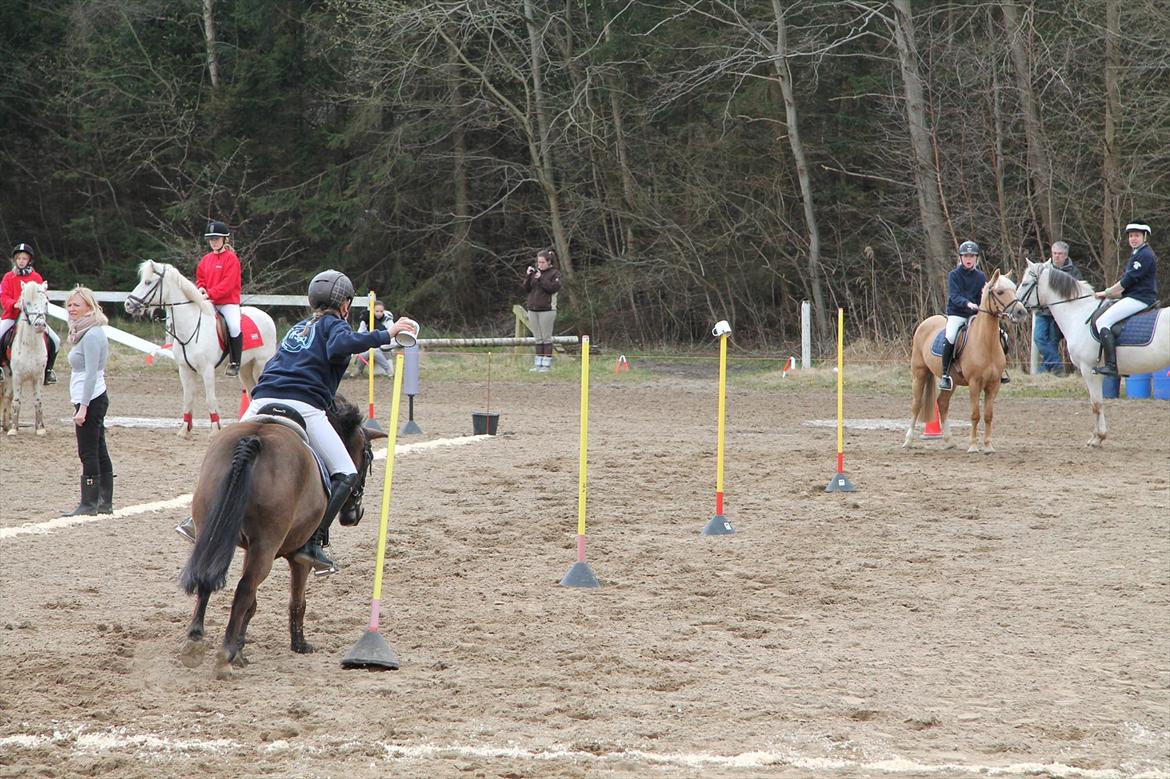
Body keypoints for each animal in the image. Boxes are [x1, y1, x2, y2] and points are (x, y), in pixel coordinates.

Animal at [1, 281, 51, 436]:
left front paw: (40, 428)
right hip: (8, 374)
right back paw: (7, 426)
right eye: (27, 303)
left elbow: (38, 401)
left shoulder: (38, 377)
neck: (30, 345)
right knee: (8, 396)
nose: (39, 325)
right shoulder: (17, 376)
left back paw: (6, 424)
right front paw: (14, 429)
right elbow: (16, 401)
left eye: (46, 302)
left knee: (7, 396)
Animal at [123, 260, 277, 437]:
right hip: (245, 369)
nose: (128, 304)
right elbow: (188, 399)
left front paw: (215, 430)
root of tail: (266, 317)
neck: (190, 327)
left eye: (148, 282)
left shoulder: (207, 370)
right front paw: (184, 430)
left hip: (261, 365)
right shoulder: (184, 370)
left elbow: (210, 399)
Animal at [179, 395, 386, 678]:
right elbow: (296, 601)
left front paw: (241, 649)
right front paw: (299, 644)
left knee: (207, 578)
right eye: (367, 457)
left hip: (212, 532)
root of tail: (254, 439)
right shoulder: (298, 560)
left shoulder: (249, 549)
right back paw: (225, 655)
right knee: (243, 589)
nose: (354, 515)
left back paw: (196, 641)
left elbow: (253, 604)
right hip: (266, 545)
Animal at [904, 270, 1028, 453]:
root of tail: (927, 321)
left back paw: (949, 441)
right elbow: (975, 415)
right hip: (919, 374)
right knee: (916, 405)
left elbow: (988, 416)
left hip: (951, 382)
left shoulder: (994, 384)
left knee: (942, 403)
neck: (986, 343)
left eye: (1014, 289)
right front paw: (973, 446)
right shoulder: (975, 383)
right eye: (999, 292)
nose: (1021, 312)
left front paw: (988, 446)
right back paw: (908, 440)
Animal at [1017, 259, 1170, 447]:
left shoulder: (1088, 369)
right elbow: (1098, 403)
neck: (1078, 313)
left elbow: (1096, 404)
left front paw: (1097, 438)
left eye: (1025, 283)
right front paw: (1098, 436)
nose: (1016, 310)